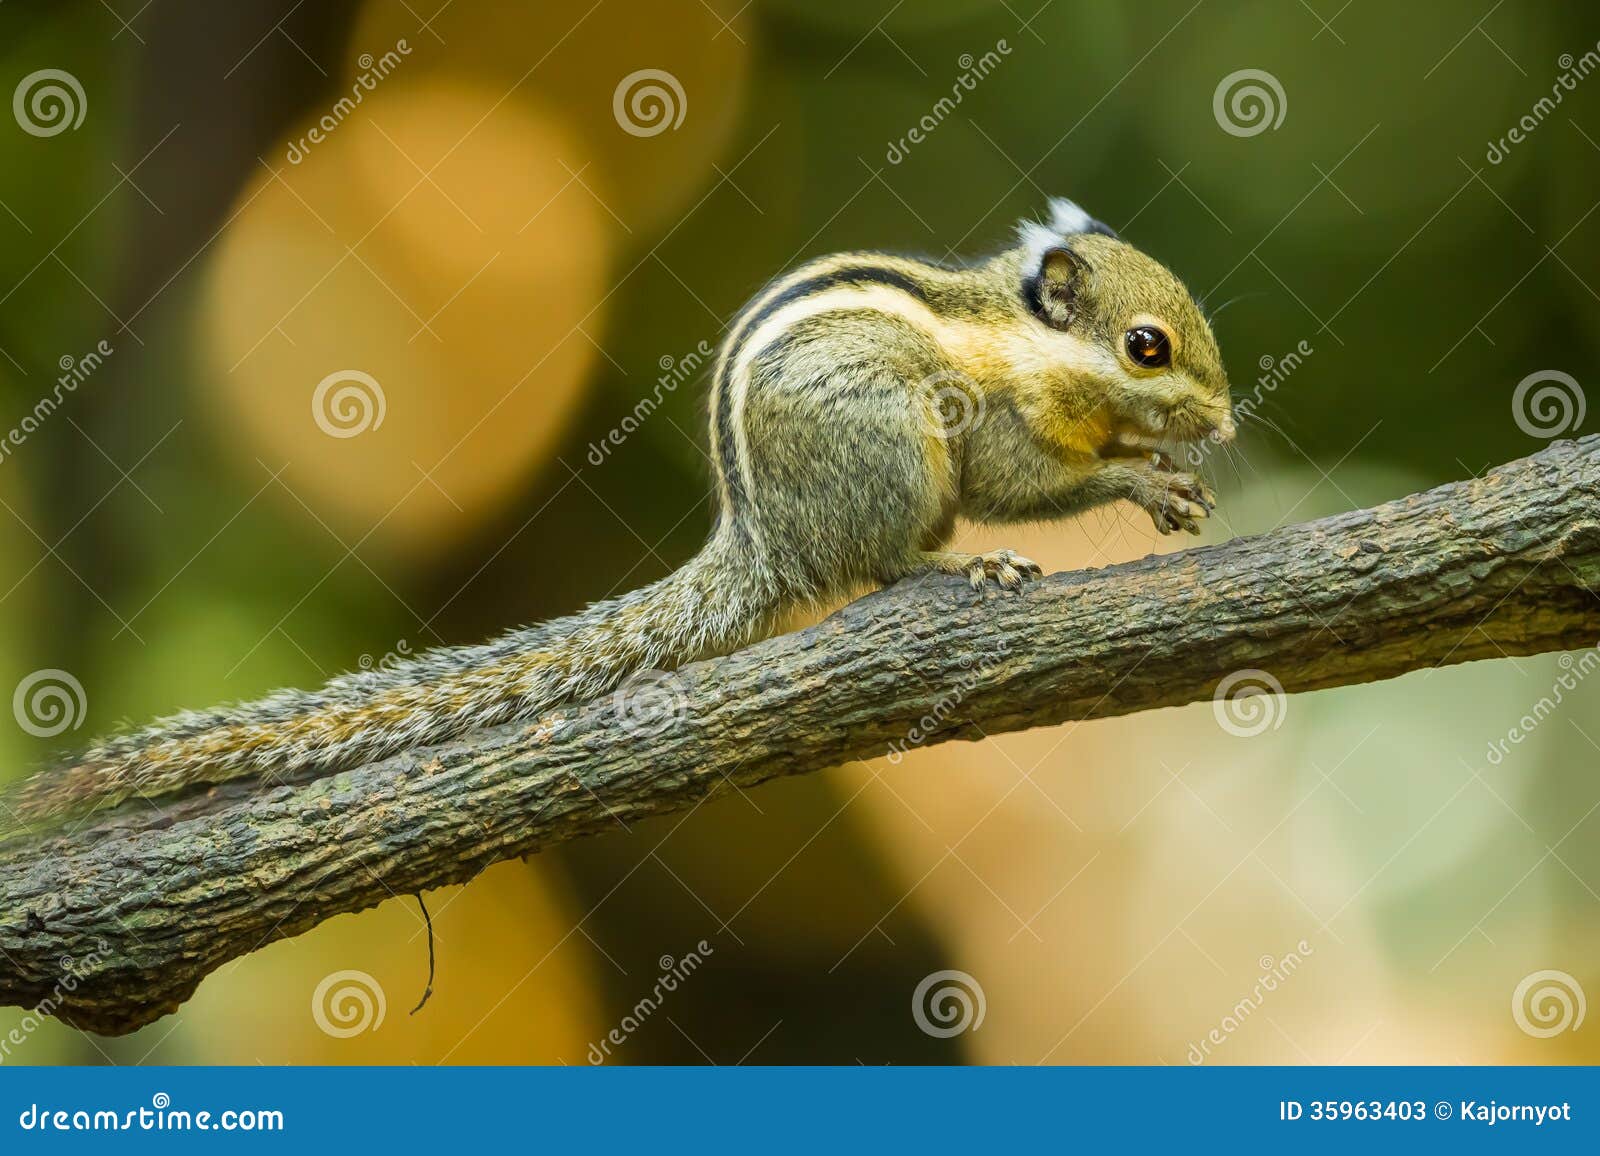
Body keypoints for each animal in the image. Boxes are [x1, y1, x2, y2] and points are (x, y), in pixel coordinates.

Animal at [4, 197, 1234, 827]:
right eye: (1147, 345)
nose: (1223, 420)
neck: (1023, 340)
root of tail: (763, 542)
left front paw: (1167, 463)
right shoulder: (990, 429)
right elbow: (1021, 488)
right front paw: (1142, 476)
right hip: (886, 453)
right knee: (877, 565)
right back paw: (951, 571)